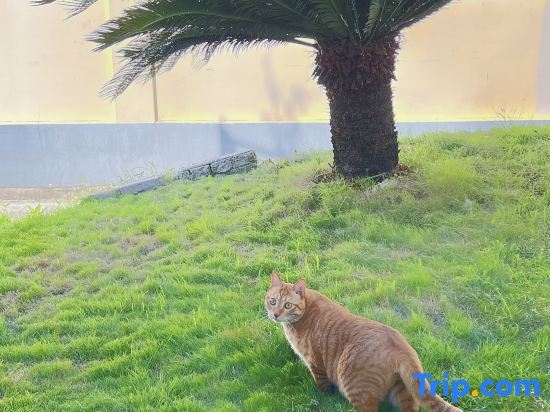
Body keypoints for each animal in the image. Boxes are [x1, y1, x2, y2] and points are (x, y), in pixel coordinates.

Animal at [265, 271, 463, 412]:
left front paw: (324, 398)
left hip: (355, 388)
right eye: (272, 301)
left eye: (287, 305)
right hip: (403, 394)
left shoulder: (315, 363)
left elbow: (324, 387)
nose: (275, 315)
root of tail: (403, 347)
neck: (304, 313)